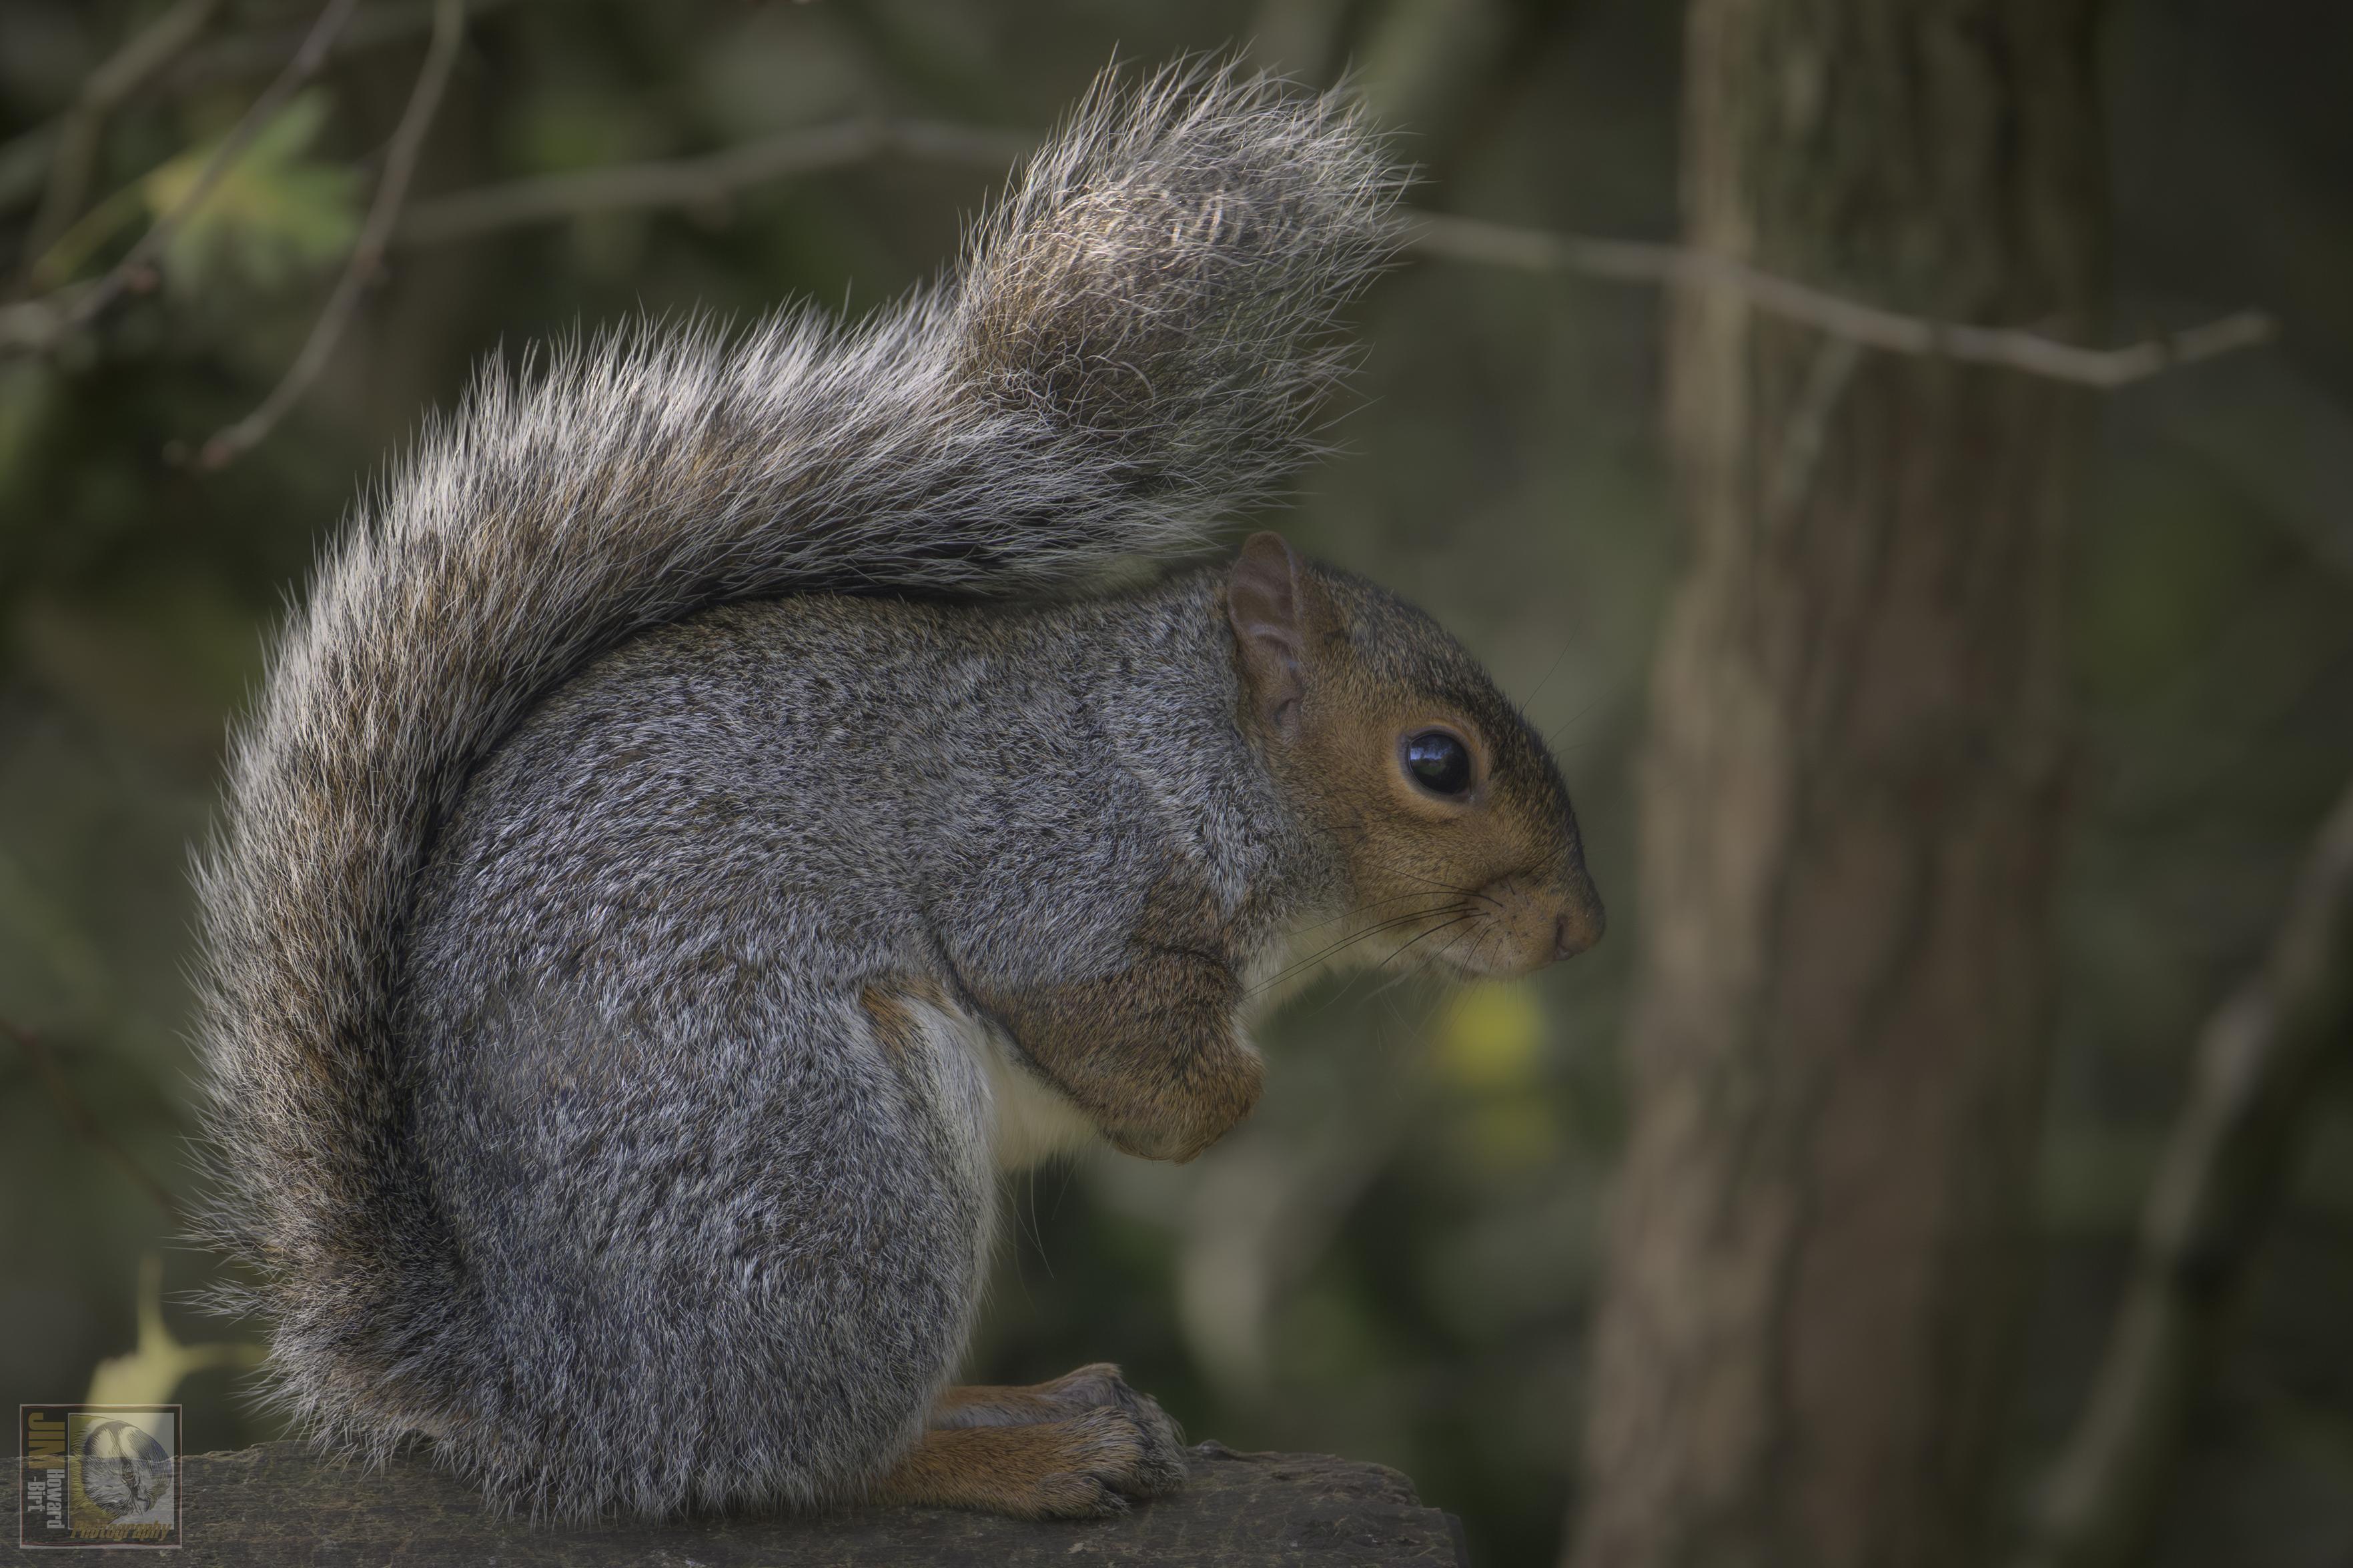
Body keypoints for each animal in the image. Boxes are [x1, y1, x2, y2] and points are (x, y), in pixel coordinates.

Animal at [193, 61, 1609, 1523]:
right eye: (1436, 762)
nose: (1578, 926)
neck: (1180, 751)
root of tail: (569, 1400)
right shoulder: (1057, 874)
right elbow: (1114, 1027)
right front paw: (1212, 1108)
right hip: (829, 1182)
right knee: (818, 1454)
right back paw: (1037, 1450)